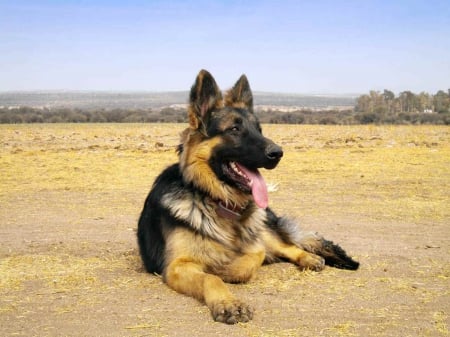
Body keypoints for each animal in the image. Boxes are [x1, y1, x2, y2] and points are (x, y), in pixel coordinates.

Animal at [137, 70, 358, 322]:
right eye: (234, 129)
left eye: (259, 130)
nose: (278, 153)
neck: (217, 202)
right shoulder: (176, 266)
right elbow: (211, 277)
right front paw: (228, 302)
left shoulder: (255, 246)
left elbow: (250, 260)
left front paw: (227, 269)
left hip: (264, 230)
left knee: (288, 246)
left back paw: (309, 258)